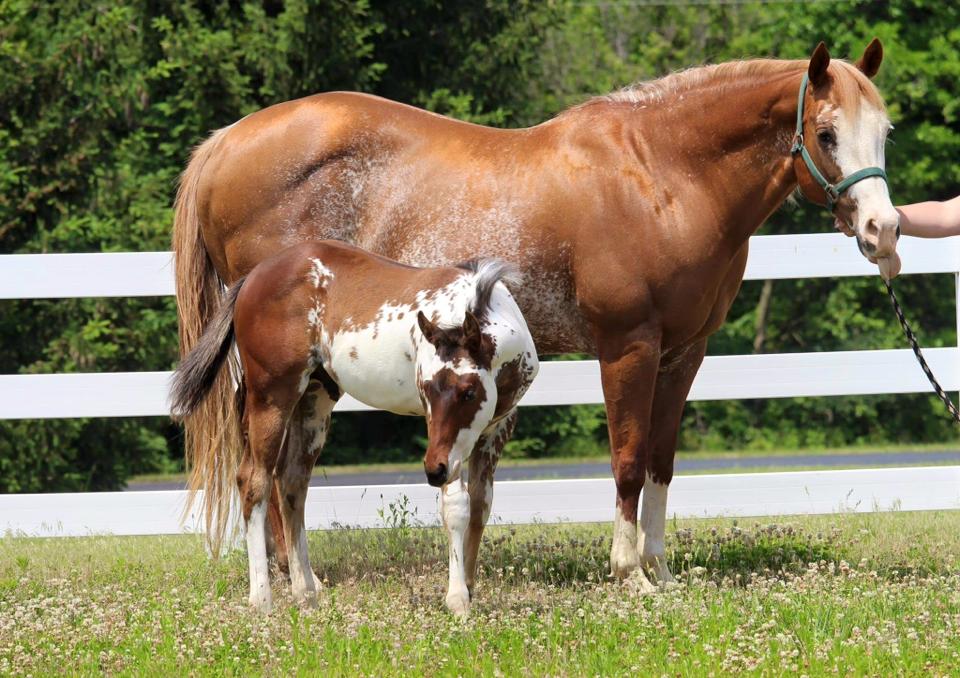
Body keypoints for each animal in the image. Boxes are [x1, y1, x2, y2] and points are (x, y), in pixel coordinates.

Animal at [171, 243, 532, 616]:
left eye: (469, 392)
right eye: (425, 390)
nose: (434, 470)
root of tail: (253, 277)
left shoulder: (497, 427)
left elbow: (481, 504)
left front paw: (470, 587)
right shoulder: (446, 443)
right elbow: (457, 506)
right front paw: (458, 598)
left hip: (314, 399)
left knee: (292, 483)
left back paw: (306, 593)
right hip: (271, 398)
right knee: (253, 480)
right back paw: (262, 599)